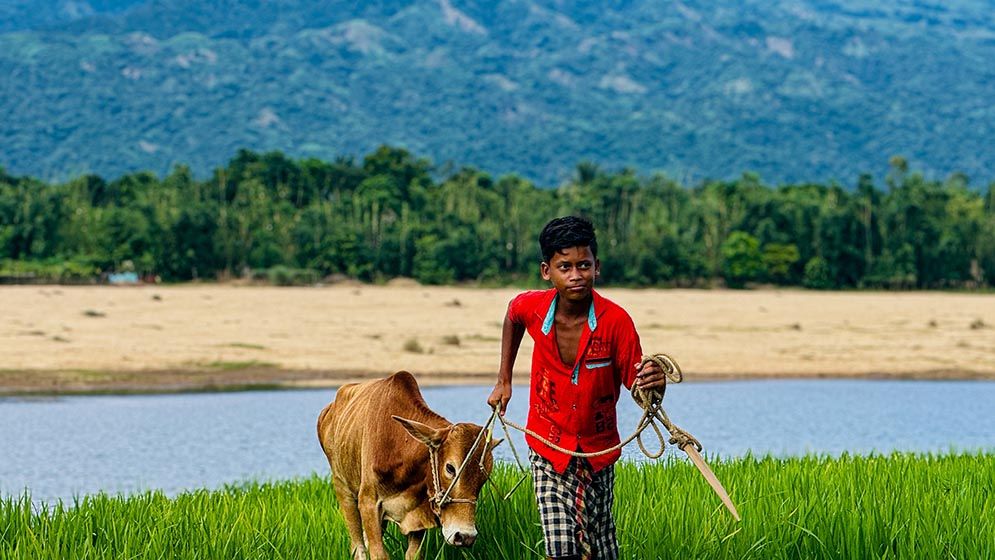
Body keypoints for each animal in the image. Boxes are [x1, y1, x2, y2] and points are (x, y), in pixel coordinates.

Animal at [320, 372, 502, 560]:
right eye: (450, 468)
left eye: (484, 476)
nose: (465, 536)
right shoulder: (368, 503)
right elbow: (377, 553)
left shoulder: (418, 516)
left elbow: (413, 554)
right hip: (343, 489)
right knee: (358, 547)